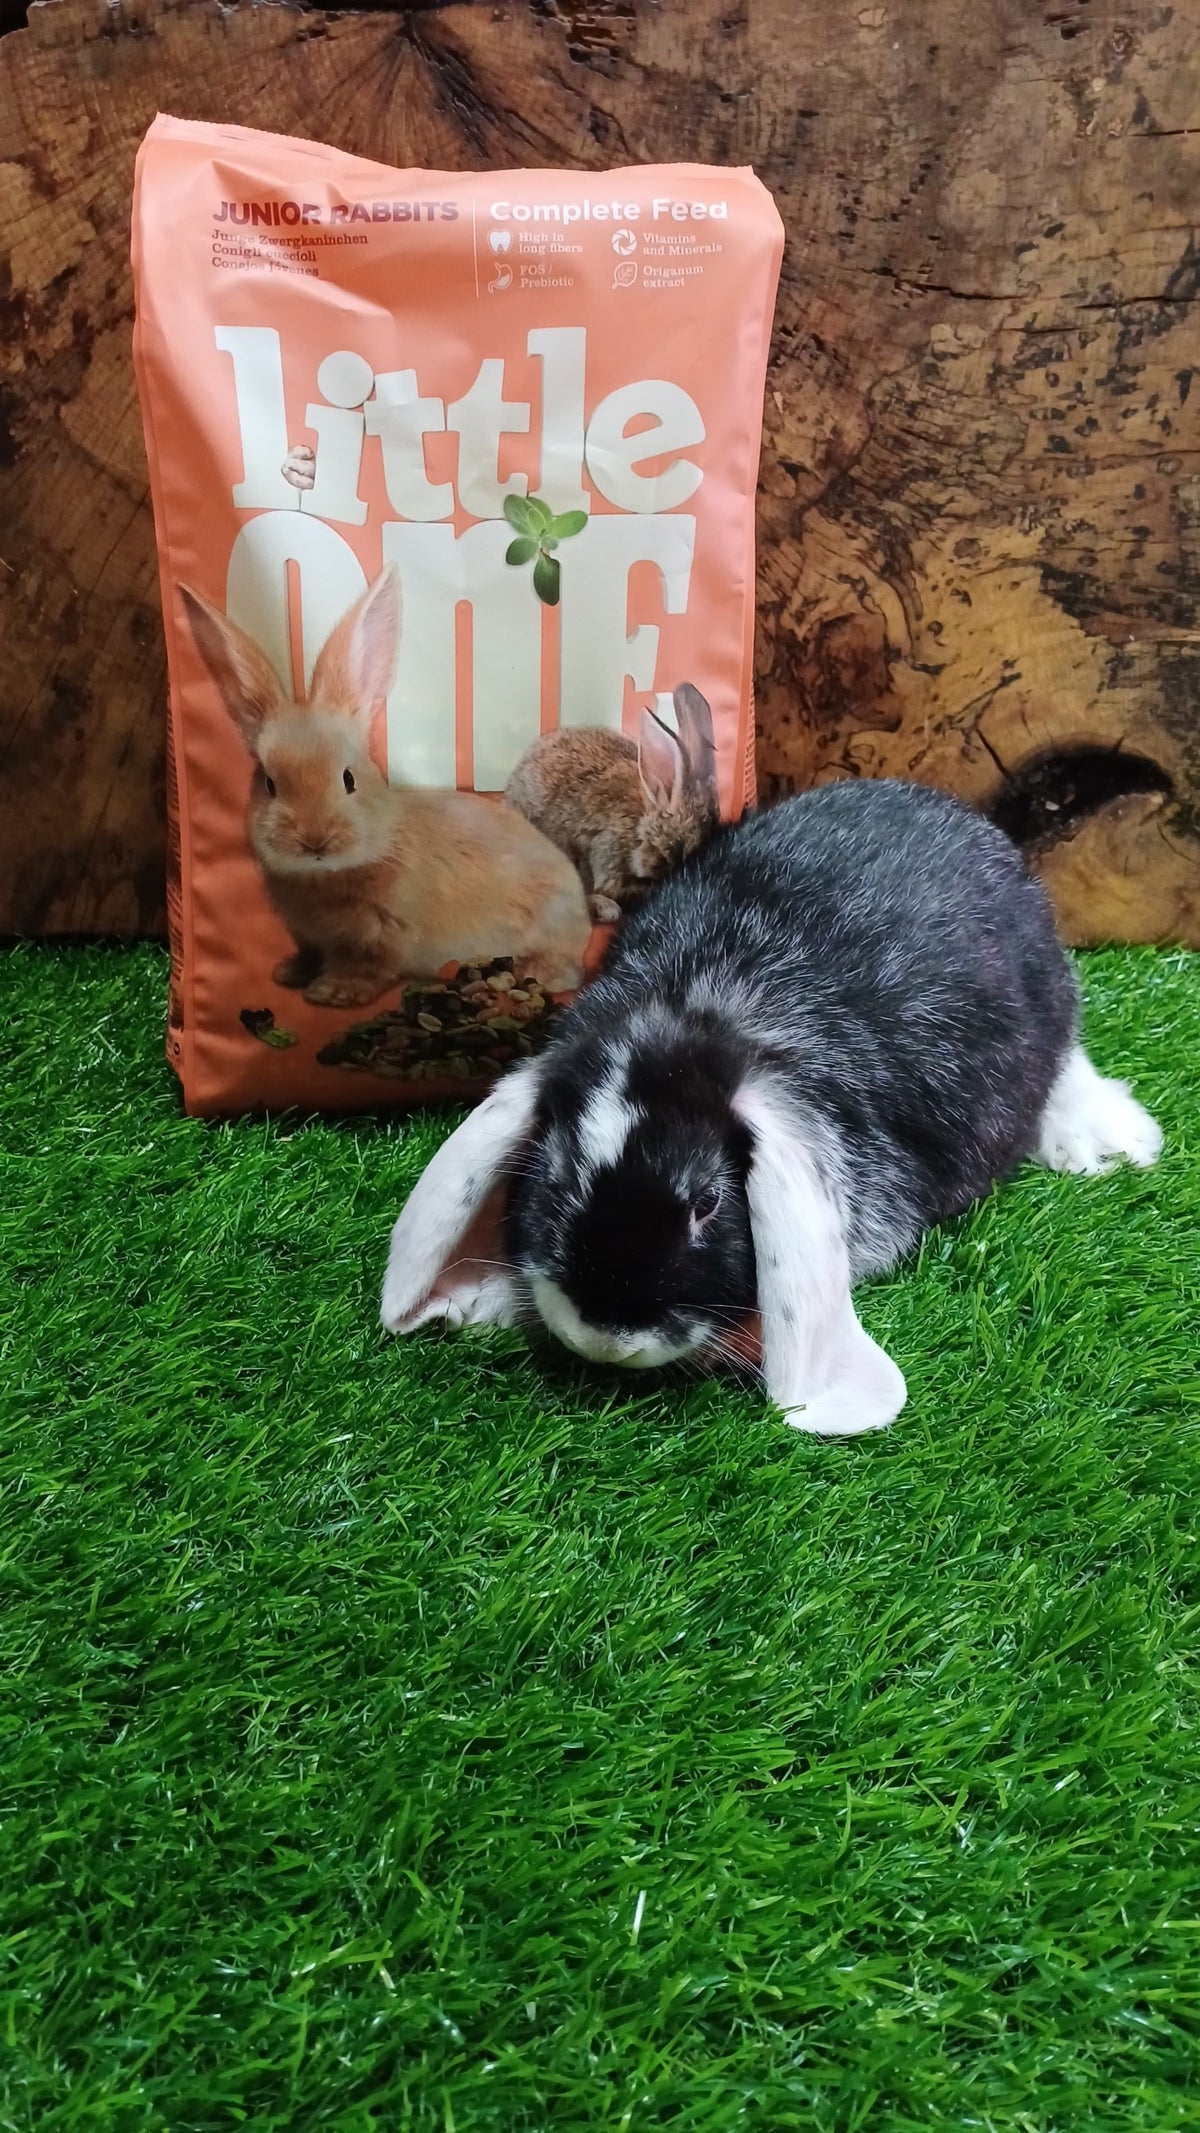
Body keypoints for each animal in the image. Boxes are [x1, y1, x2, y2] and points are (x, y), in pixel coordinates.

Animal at [178, 567, 592, 1007]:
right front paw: (289, 973)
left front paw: (330, 992)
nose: (314, 839)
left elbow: (367, 968)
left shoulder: (381, 935)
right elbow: (311, 954)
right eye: (269, 784)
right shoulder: (308, 935)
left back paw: (536, 974)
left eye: (349, 779)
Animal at [380, 778, 1163, 1436]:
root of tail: (946, 807)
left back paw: (1107, 1142)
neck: (697, 1012)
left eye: (708, 1204)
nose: (606, 1334)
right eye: (556, 1178)